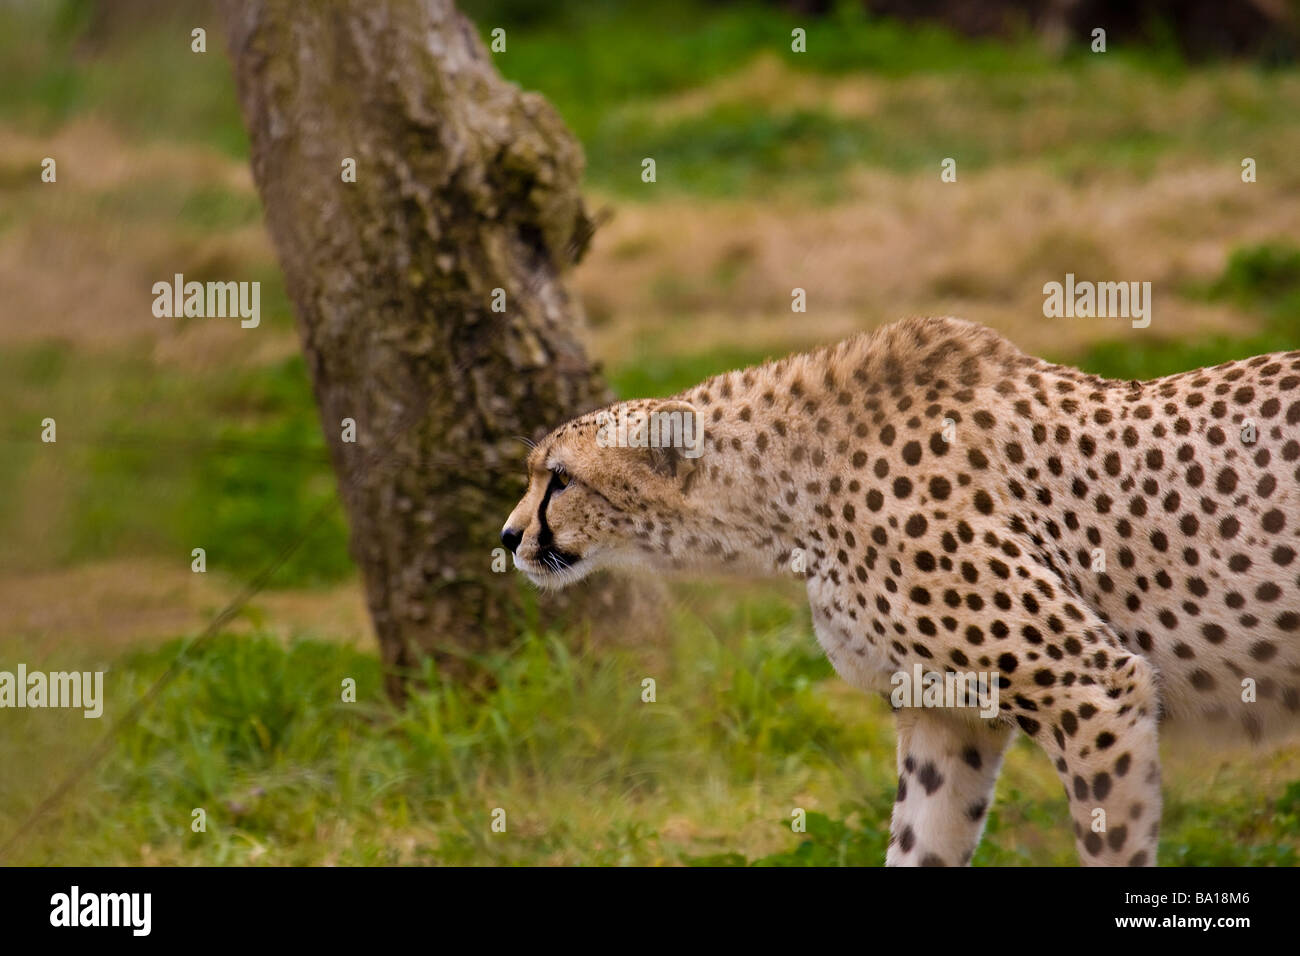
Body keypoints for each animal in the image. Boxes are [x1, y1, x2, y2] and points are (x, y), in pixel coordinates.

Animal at [499, 316, 1300, 868]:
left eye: (560, 479)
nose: (508, 537)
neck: (787, 495)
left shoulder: (1092, 686)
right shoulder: (947, 715)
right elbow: (920, 843)